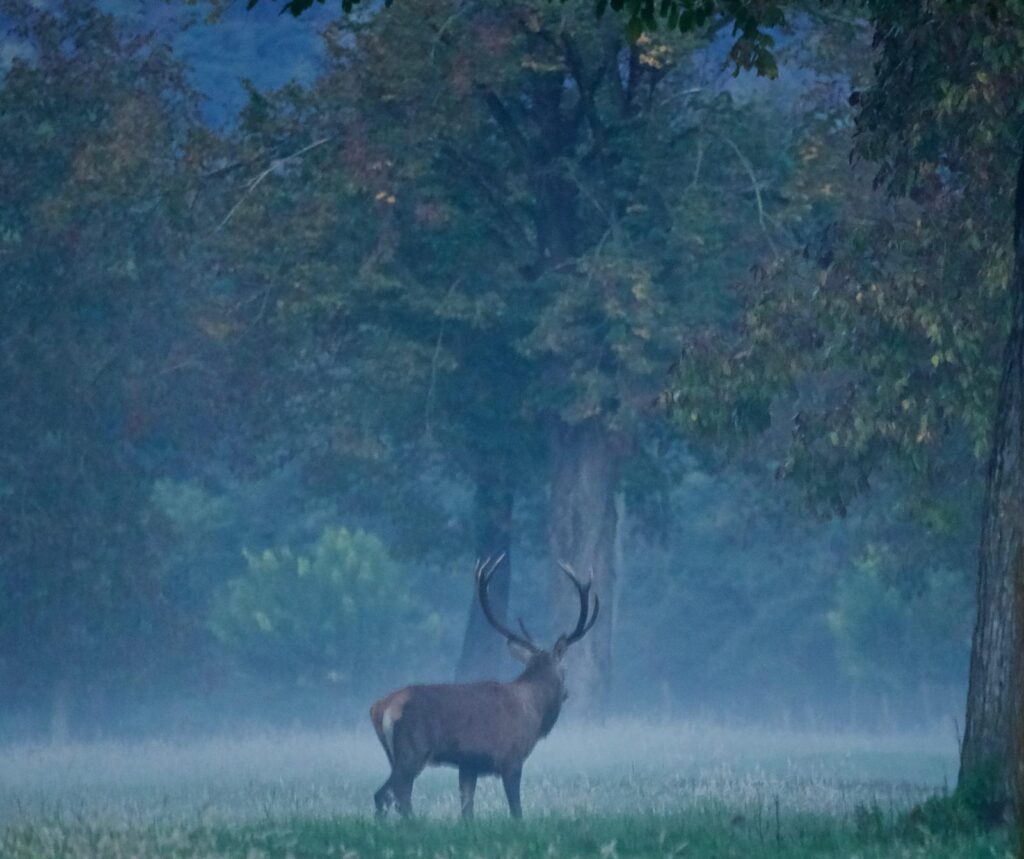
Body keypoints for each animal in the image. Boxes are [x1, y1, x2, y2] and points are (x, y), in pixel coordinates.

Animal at [369, 556, 599, 819]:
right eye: (565, 669)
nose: (567, 693)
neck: (534, 708)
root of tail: (380, 708)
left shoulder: (469, 764)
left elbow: (467, 811)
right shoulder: (511, 757)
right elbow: (516, 810)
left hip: (393, 755)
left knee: (383, 795)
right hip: (413, 749)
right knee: (398, 793)